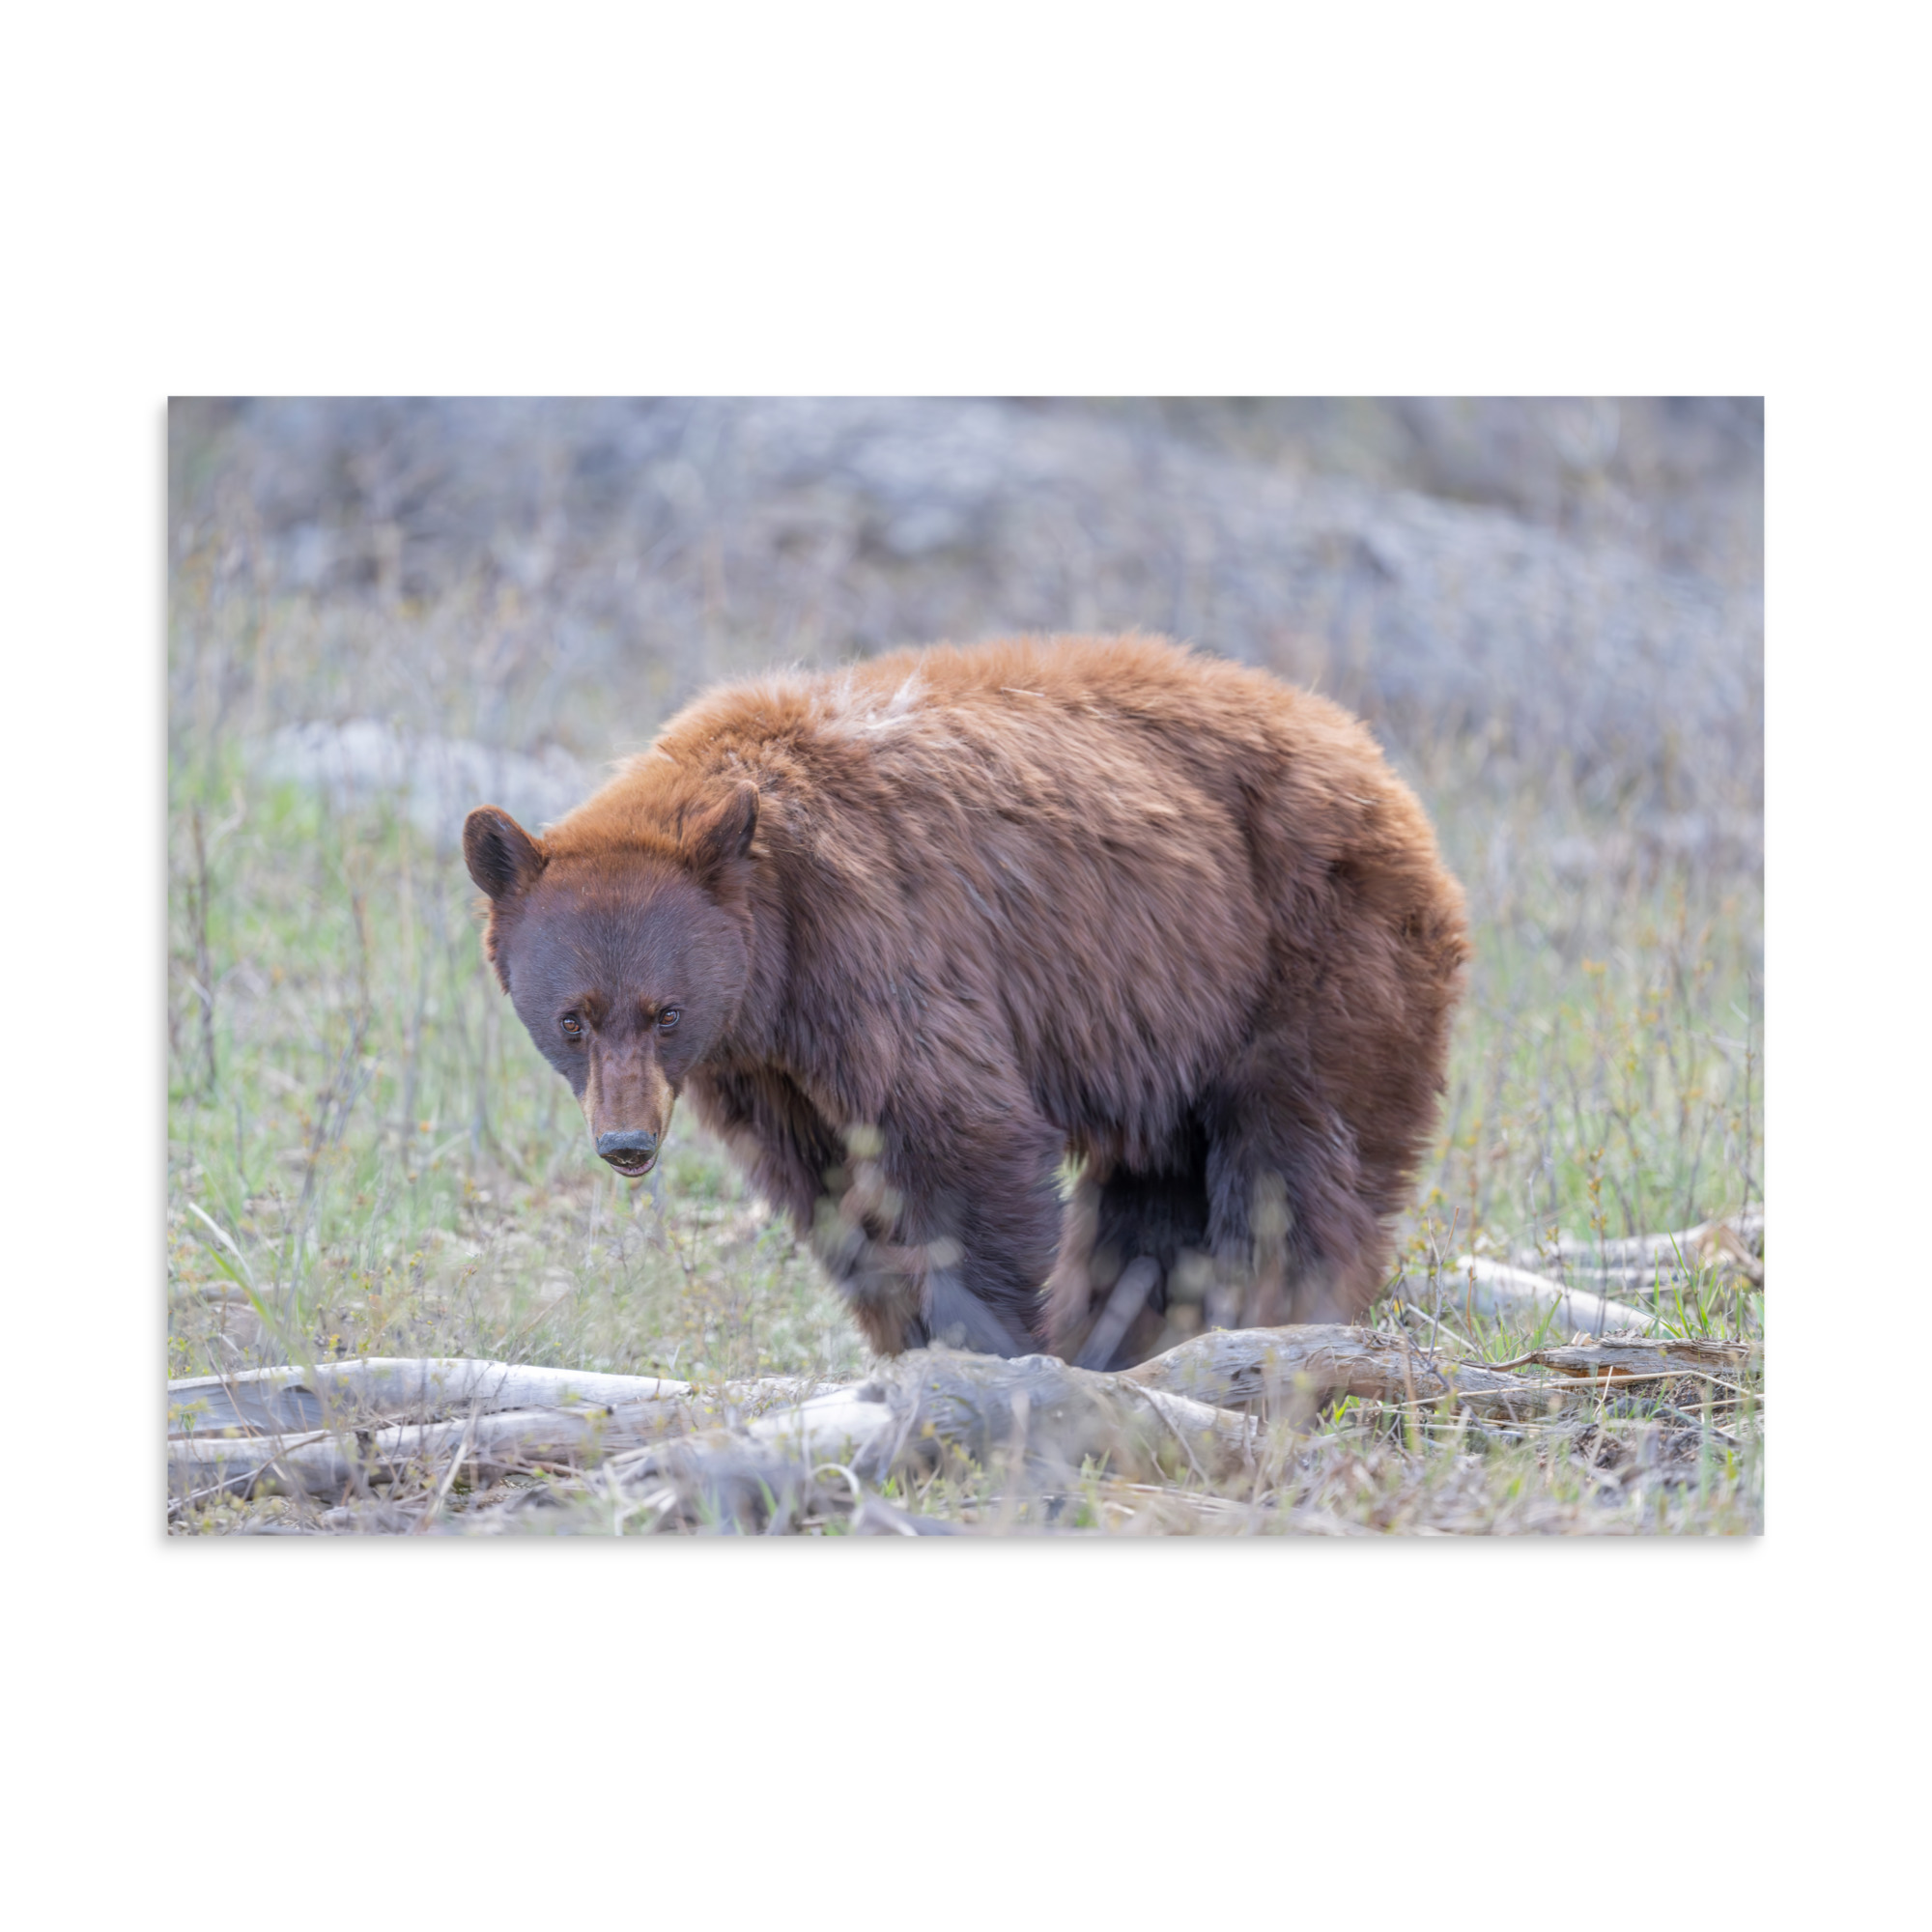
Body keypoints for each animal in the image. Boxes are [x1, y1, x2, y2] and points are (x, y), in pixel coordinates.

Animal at [463, 634, 1468, 1370]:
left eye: (665, 1012)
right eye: (573, 1019)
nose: (626, 1143)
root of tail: (1373, 759)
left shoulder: (879, 947)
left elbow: (961, 1140)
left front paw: (988, 1346)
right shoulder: (766, 1067)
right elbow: (831, 1190)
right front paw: (908, 1339)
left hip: (1309, 953)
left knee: (1296, 1162)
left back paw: (1272, 1317)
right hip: (1175, 1020)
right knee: (1154, 1193)